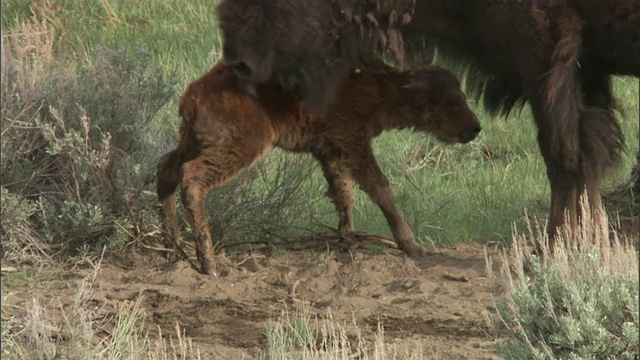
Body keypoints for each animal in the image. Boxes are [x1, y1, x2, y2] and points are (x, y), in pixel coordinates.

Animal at [156, 60, 480, 274]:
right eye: (453, 99)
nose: (475, 128)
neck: (380, 85)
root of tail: (192, 95)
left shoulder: (330, 151)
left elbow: (343, 193)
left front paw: (348, 240)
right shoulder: (353, 143)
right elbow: (378, 187)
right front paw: (411, 245)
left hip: (194, 140)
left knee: (166, 168)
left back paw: (172, 250)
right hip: (237, 147)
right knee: (191, 179)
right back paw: (208, 262)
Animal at [218, 0, 636, 252]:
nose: (238, 62)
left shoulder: (544, 48)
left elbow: (562, 155)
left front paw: (554, 248)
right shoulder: (586, 71)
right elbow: (587, 158)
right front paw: (590, 244)